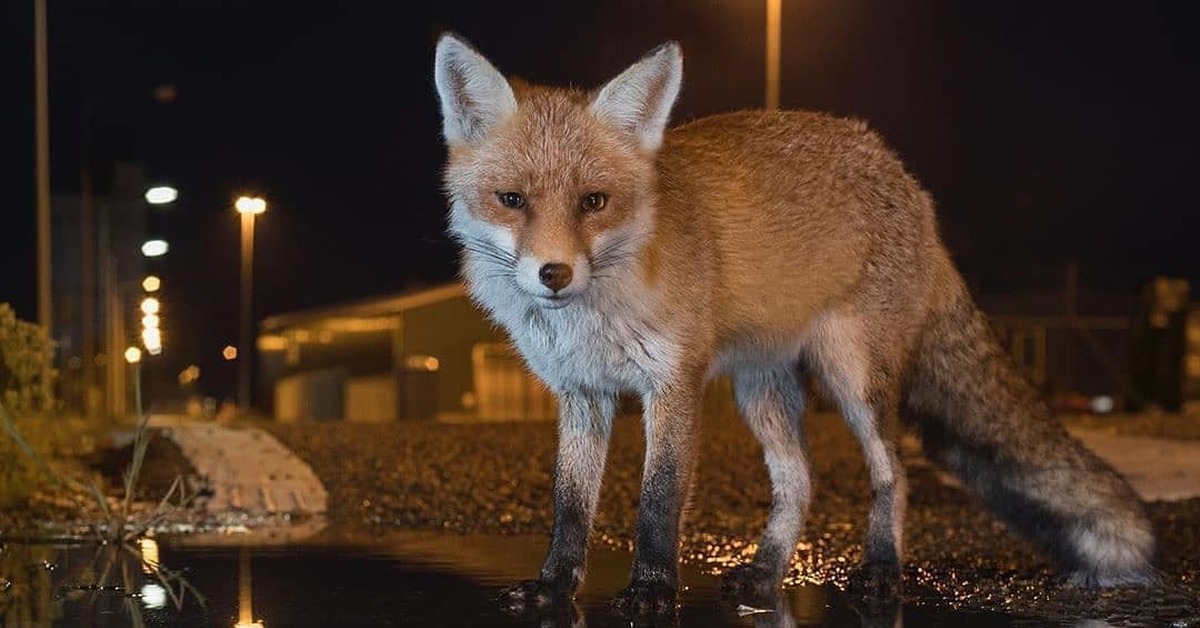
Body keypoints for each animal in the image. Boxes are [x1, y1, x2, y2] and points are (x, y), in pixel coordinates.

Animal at [429, 33, 1152, 614]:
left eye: (594, 202)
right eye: (512, 200)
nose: (554, 273)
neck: (593, 315)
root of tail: (906, 179)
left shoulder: (675, 383)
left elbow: (658, 500)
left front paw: (653, 590)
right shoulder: (582, 394)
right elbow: (571, 506)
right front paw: (554, 587)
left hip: (853, 378)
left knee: (893, 474)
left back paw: (880, 571)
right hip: (762, 388)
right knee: (800, 481)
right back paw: (766, 573)